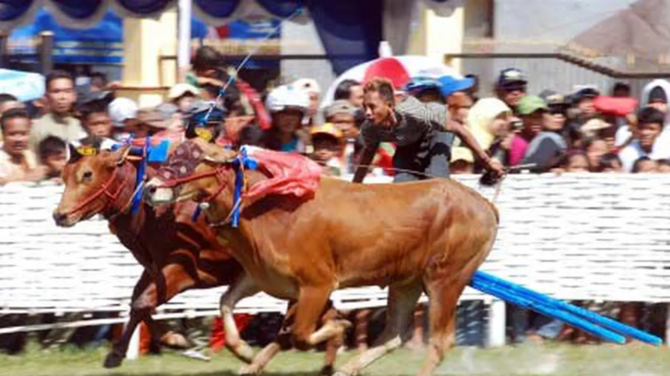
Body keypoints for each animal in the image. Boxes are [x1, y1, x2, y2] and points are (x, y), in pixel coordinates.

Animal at [53, 142, 342, 374]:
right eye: (64, 176)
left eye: (87, 174)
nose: (60, 215)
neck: (159, 214)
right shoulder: (154, 268)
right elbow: (139, 303)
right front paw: (139, 347)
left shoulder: (183, 270)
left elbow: (143, 302)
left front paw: (177, 341)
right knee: (324, 317)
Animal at [144, 140, 502, 376]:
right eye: (171, 154)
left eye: (195, 159)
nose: (150, 188)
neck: (266, 205)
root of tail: (483, 204)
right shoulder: (262, 276)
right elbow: (226, 304)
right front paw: (245, 352)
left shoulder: (318, 283)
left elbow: (302, 334)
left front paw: (339, 326)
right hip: (406, 281)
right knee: (393, 334)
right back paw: (348, 369)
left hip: (446, 278)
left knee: (440, 341)